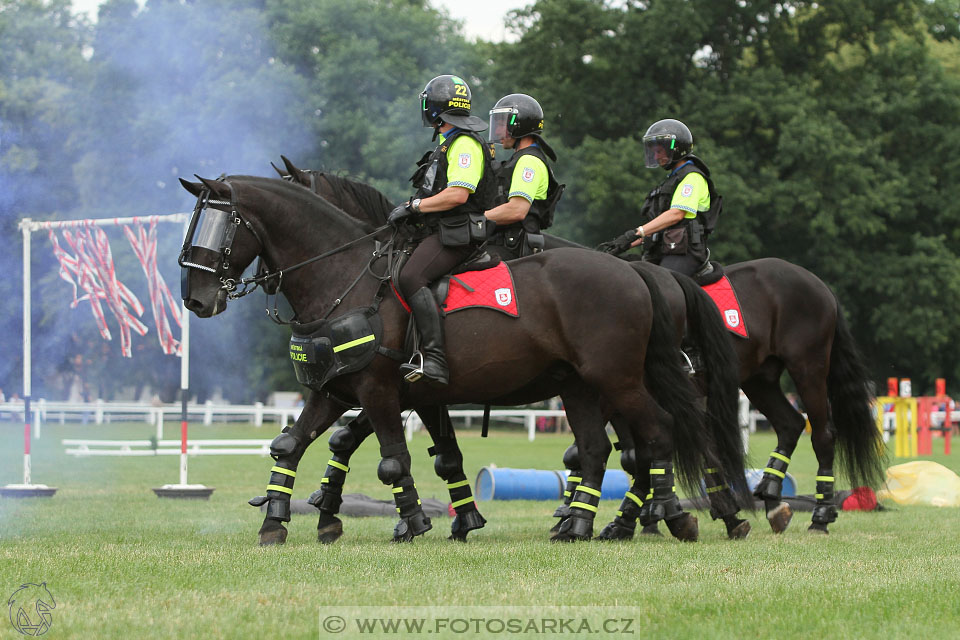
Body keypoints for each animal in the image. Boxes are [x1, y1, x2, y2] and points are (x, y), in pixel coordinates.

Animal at [180, 175, 752, 544]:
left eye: (215, 228)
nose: (195, 300)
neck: (346, 277)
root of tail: (636, 272)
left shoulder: (381, 392)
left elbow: (392, 459)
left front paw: (411, 522)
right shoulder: (340, 390)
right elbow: (293, 446)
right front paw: (278, 519)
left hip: (621, 381)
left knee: (659, 434)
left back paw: (675, 515)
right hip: (581, 387)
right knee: (598, 449)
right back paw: (582, 524)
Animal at [276, 159, 884, 536]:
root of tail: (816, 283)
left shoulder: (395, 385)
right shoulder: (413, 390)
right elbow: (384, 443)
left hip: (800, 367)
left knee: (815, 430)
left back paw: (807, 512)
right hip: (756, 377)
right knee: (781, 424)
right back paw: (762, 501)